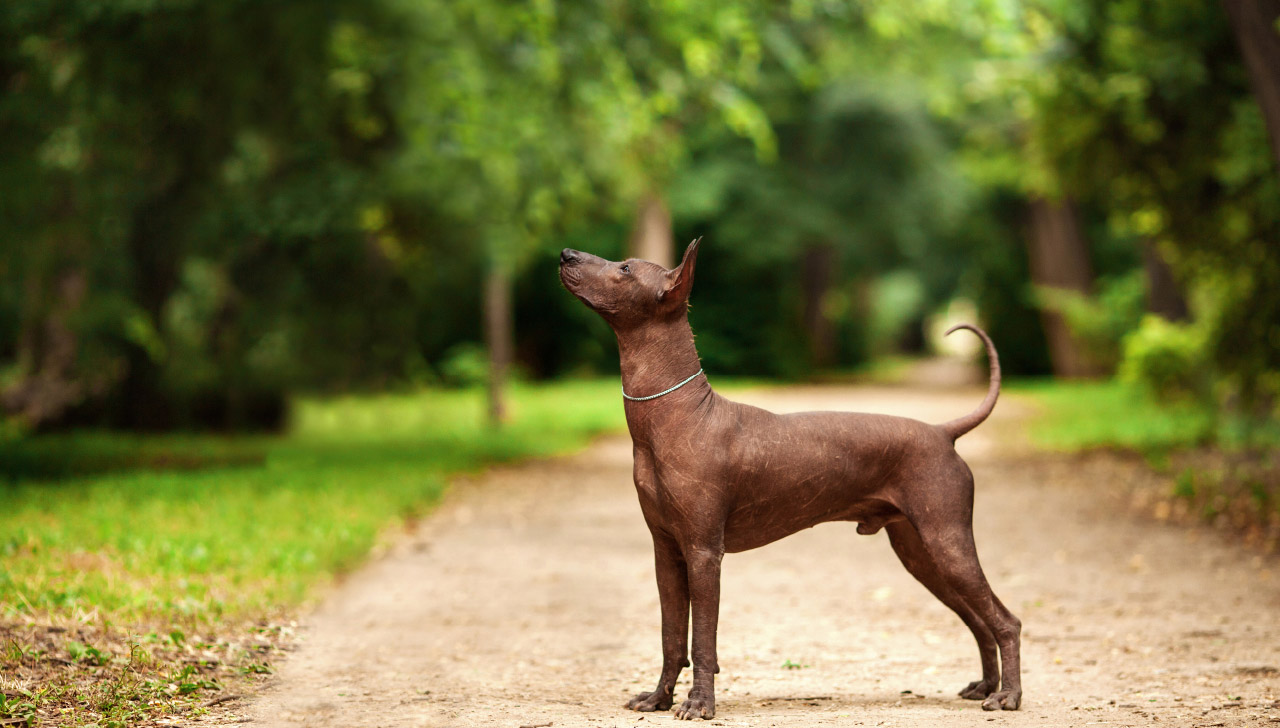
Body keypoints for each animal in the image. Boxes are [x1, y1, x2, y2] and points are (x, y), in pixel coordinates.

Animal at [560, 236, 1018, 716]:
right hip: (921, 554)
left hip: (946, 542)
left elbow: (702, 639)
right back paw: (986, 686)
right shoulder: (666, 552)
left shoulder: (704, 552)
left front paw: (699, 703)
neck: (677, 413)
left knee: (1006, 621)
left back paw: (1008, 695)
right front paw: (659, 697)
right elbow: (671, 637)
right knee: (980, 621)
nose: (566, 255)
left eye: (625, 269)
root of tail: (943, 432)